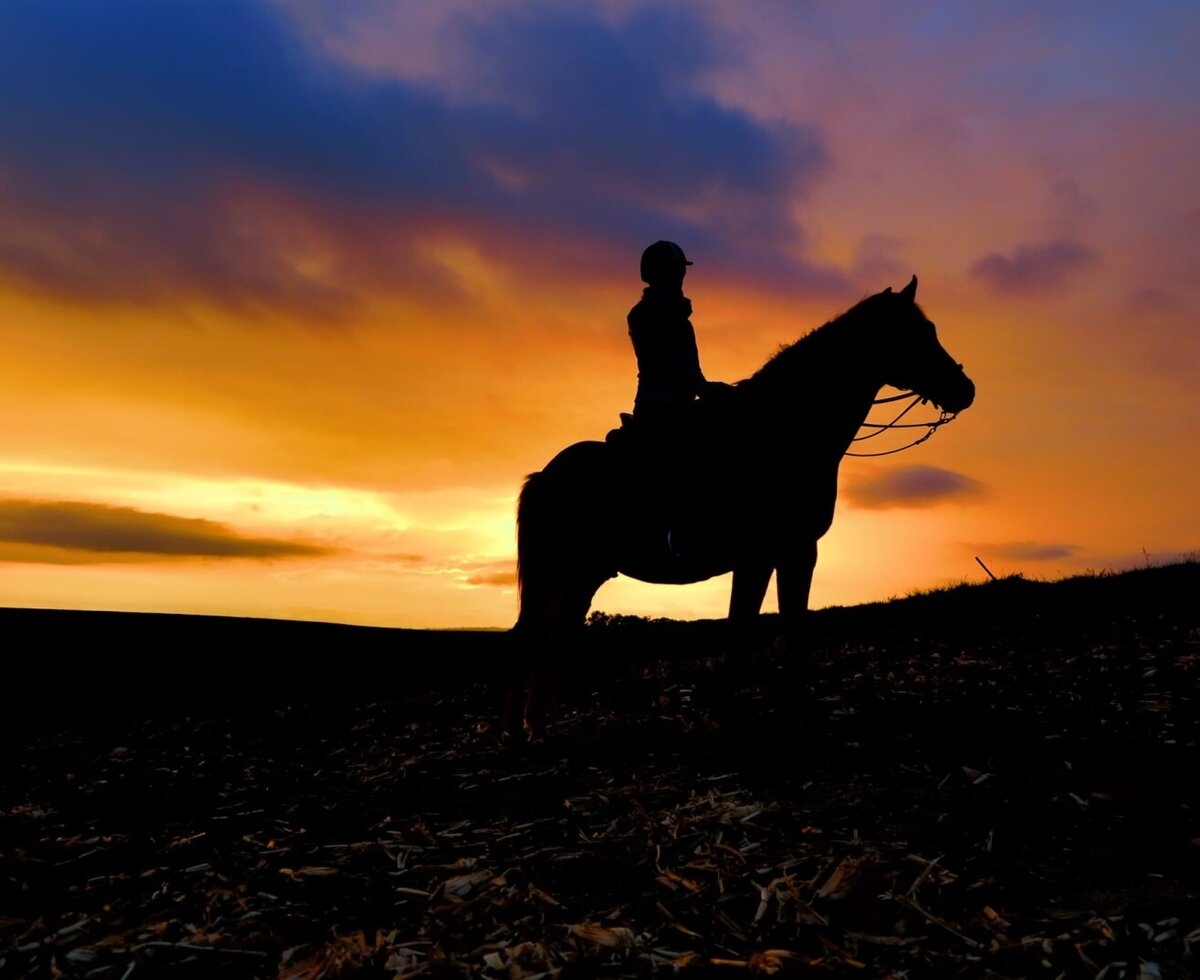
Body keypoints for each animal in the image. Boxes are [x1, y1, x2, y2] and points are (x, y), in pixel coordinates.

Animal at [506, 275, 975, 735]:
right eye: (916, 334)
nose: (965, 390)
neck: (779, 432)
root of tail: (544, 475)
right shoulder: (770, 553)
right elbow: (753, 627)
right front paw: (742, 707)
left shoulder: (786, 553)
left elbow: (779, 625)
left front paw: (778, 706)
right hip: (553, 569)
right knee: (526, 635)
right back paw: (517, 731)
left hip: (585, 573)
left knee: (555, 634)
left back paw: (542, 724)